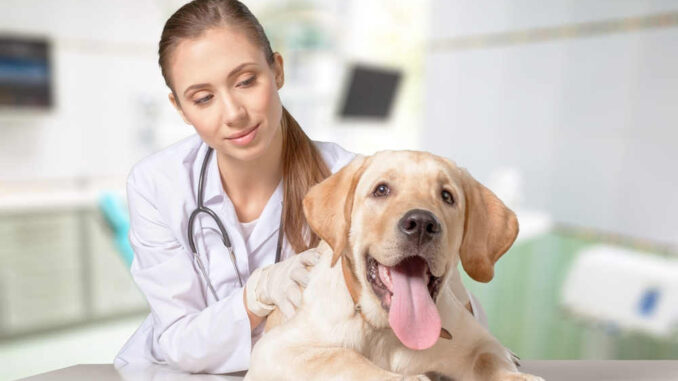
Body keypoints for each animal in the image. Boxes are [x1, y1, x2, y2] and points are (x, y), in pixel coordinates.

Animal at [247, 151, 544, 380]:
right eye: (381, 190)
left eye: (447, 196)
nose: (422, 224)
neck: (387, 333)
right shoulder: (275, 350)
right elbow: (344, 358)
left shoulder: (477, 342)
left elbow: (488, 358)